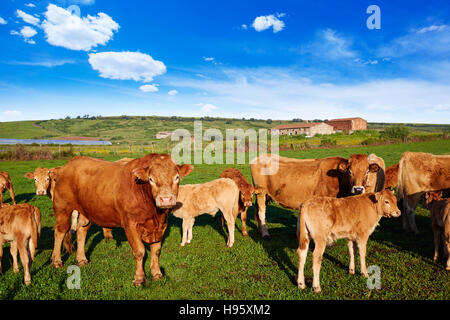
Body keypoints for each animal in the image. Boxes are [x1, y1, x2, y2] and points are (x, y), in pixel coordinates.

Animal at [50, 154, 193, 284]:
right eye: (151, 179)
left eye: (177, 177)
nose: (166, 199)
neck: (155, 214)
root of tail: (69, 164)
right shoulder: (130, 224)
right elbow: (139, 251)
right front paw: (139, 278)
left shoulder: (161, 226)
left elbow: (156, 250)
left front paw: (157, 273)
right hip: (62, 208)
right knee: (60, 232)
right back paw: (56, 260)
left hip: (87, 209)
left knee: (82, 230)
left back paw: (81, 259)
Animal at [250, 154, 384, 239]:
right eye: (350, 171)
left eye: (367, 171)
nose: (358, 189)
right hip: (261, 192)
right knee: (261, 211)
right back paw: (265, 234)